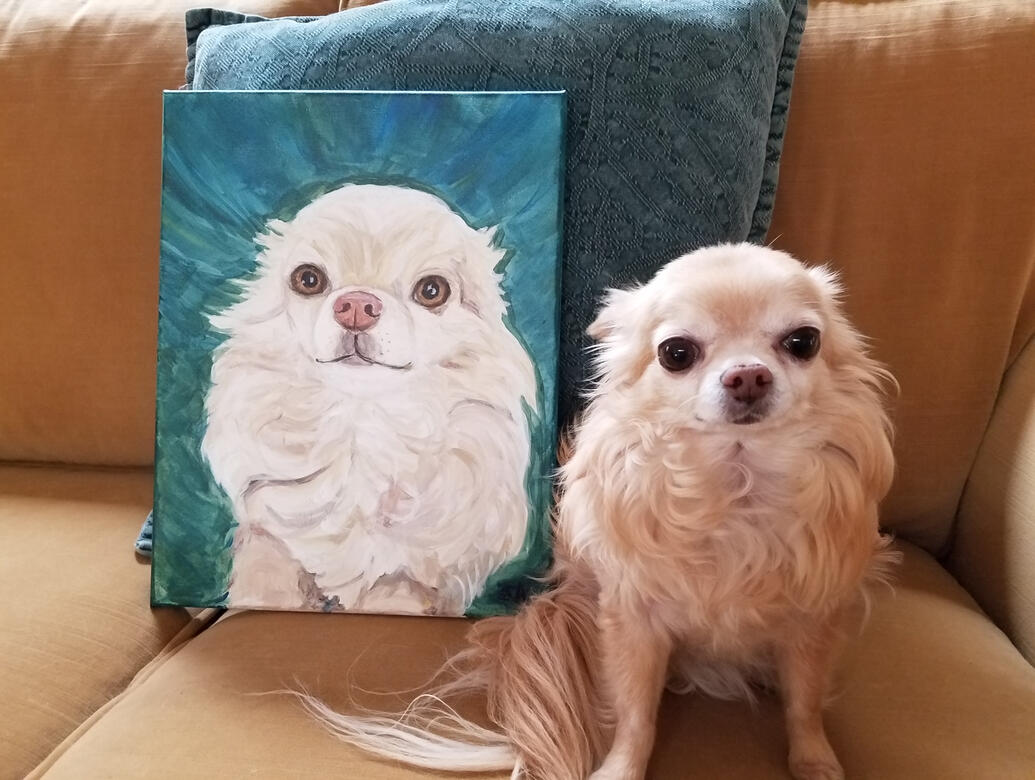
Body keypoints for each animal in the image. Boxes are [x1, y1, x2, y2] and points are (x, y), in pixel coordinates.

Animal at [198, 182, 538, 612]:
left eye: (432, 290)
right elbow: (269, 570)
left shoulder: (423, 576)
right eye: (308, 279)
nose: (358, 304)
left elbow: (398, 590)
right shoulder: (269, 533)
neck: (363, 432)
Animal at [302, 243, 894, 777]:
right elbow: (636, 714)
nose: (748, 374)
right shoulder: (634, 622)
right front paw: (620, 768)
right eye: (676, 353)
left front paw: (814, 761)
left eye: (804, 341)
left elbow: (805, 703)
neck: (733, 485)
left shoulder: (812, 620)